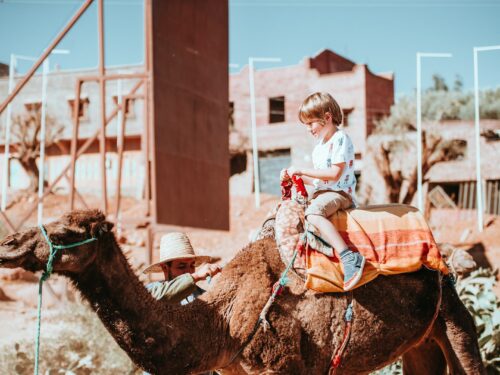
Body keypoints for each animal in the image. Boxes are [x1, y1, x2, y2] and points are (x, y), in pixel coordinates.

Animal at [0, 210, 484, 374]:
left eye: (66, 230)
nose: (7, 245)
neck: (222, 326)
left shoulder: (286, 367)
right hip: (420, 344)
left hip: (455, 321)